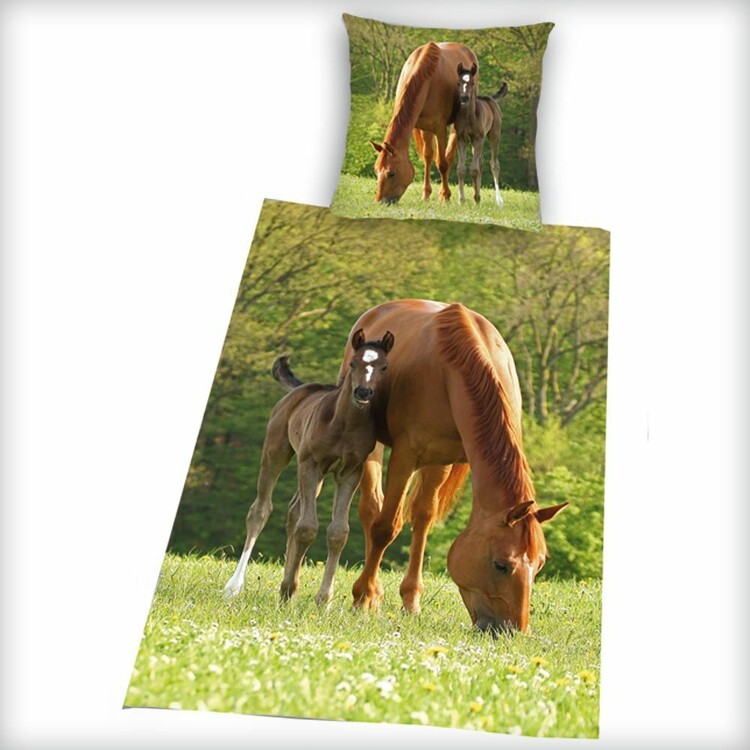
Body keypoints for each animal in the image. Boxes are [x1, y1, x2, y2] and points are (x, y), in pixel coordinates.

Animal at [224, 328, 395, 605]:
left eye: (384, 366)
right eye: (353, 363)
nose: (363, 393)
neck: (344, 424)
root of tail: (302, 388)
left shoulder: (350, 473)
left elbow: (338, 532)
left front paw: (323, 598)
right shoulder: (310, 464)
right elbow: (307, 528)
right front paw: (293, 590)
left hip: (319, 475)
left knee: (293, 511)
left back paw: (286, 584)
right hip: (276, 452)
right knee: (260, 510)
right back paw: (235, 585)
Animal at [335, 300, 567, 633]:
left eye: (540, 565)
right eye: (501, 565)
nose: (512, 631)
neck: (457, 368)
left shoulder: (441, 458)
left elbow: (423, 519)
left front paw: (411, 601)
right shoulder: (406, 456)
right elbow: (385, 526)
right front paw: (363, 598)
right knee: (372, 510)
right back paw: (371, 593)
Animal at [370, 42, 478, 205]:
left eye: (391, 173)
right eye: (376, 170)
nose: (380, 201)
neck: (426, 78)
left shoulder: (439, 128)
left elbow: (442, 163)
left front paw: (445, 195)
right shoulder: (424, 127)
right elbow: (428, 157)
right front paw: (426, 194)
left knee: (448, 156)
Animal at [454, 63, 507, 206]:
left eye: (472, 83)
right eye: (459, 82)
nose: (464, 98)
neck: (468, 116)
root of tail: (491, 99)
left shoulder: (478, 139)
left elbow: (474, 169)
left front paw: (476, 197)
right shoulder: (461, 139)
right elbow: (461, 169)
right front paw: (462, 200)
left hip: (494, 135)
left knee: (494, 164)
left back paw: (498, 200)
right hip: (475, 142)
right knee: (481, 162)